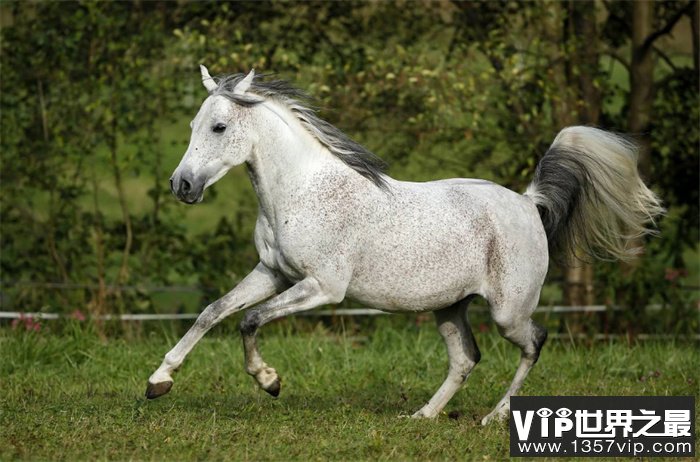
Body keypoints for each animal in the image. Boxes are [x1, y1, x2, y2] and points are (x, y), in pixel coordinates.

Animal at [146, 67, 660, 424]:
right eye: (191, 124)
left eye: (218, 128)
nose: (182, 185)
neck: (302, 190)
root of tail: (528, 202)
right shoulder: (272, 273)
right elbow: (213, 312)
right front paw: (158, 381)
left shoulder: (322, 287)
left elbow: (249, 320)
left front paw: (269, 381)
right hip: (449, 307)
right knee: (465, 358)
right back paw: (422, 416)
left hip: (507, 311)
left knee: (534, 342)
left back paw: (494, 417)